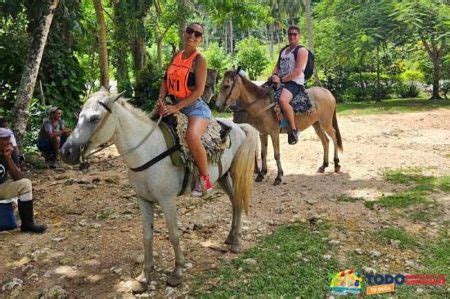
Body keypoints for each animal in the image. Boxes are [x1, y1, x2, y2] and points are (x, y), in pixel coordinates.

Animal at [60, 88, 258, 288]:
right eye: (79, 116)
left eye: (94, 118)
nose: (65, 153)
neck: (147, 151)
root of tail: (238, 126)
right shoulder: (143, 200)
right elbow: (147, 236)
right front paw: (145, 275)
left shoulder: (167, 200)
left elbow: (174, 235)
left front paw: (177, 272)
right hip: (223, 177)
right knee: (235, 203)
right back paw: (232, 238)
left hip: (234, 173)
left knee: (238, 201)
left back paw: (236, 243)